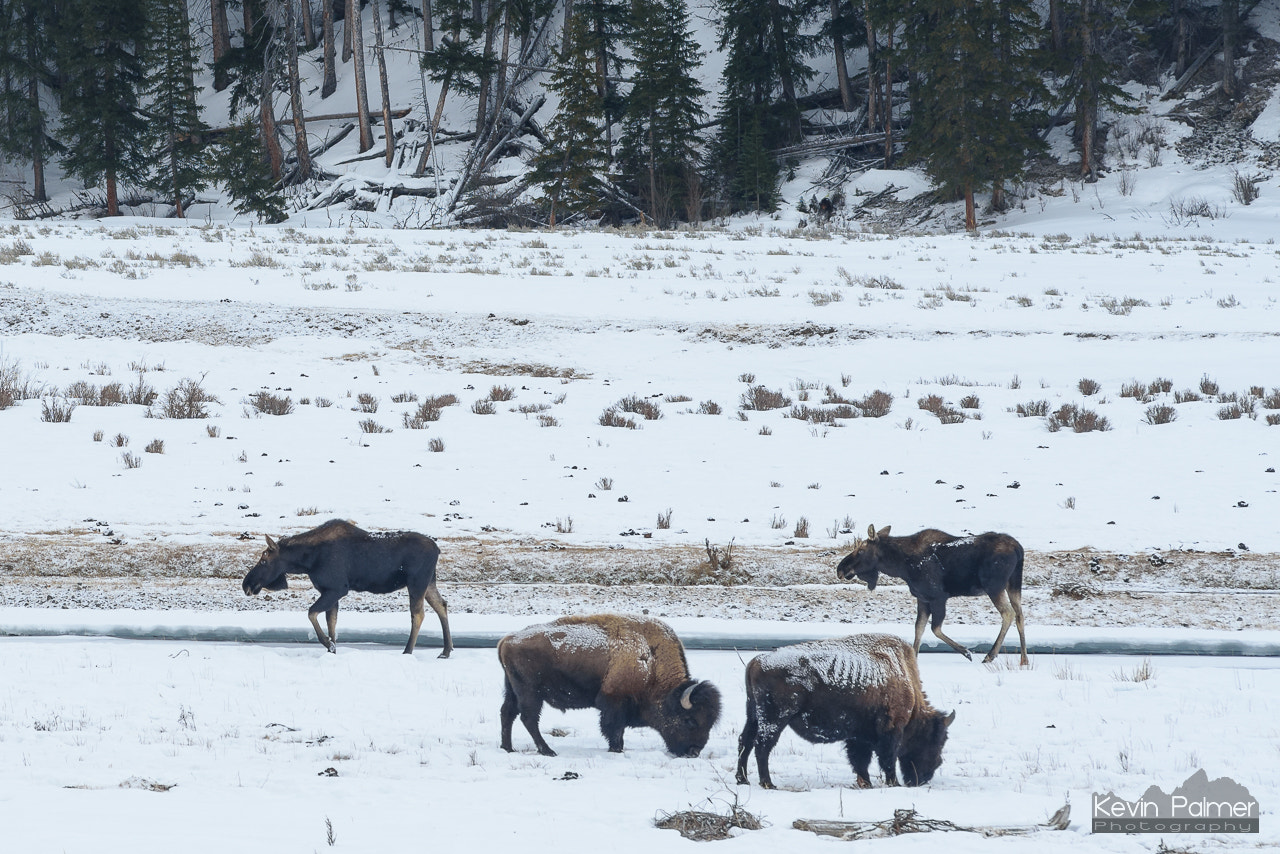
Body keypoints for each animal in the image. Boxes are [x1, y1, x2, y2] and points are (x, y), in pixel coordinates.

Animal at [240, 517, 455, 660]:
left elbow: (312, 614)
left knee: (418, 614)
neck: (307, 561)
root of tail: (438, 549)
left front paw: (328, 644)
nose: (246, 584)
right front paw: (332, 649)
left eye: (264, 560)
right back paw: (446, 650)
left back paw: (408, 651)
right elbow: (331, 622)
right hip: (429, 582)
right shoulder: (329, 591)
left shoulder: (337, 589)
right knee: (441, 605)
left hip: (417, 582)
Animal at [496, 614, 721, 763]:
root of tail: (508, 639)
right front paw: (616, 750)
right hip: (530, 693)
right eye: (690, 720)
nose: (693, 752)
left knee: (507, 713)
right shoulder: (614, 703)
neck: (651, 661)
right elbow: (614, 730)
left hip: (512, 690)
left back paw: (508, 748)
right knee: (528, 719)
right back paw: (547, 751)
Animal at [737, 635, 957, 788]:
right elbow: (886, 759)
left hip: (753, 714)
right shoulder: (890, 731)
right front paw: (893, 783)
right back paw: (768, 783)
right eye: (937, 741)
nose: (924, 778)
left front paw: (865, 783)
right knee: (762, 746)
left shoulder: (859, 735)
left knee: (745, 741)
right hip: (775, 718)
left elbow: (860, 760)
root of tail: (757, 661)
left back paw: (743, 779)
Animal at [829, 527, 1029, 665]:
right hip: (1013, 584)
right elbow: (919, 628)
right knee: (1020, 614)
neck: (901, 566)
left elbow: (935, 628)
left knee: (1008, 613)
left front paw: (966, 652)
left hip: (993, 586)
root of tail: (1019, 549)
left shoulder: (938, 597)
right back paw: (1024, 659)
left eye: (861, 550)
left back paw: (990, 655)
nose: (840, 569)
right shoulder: (922, 598)